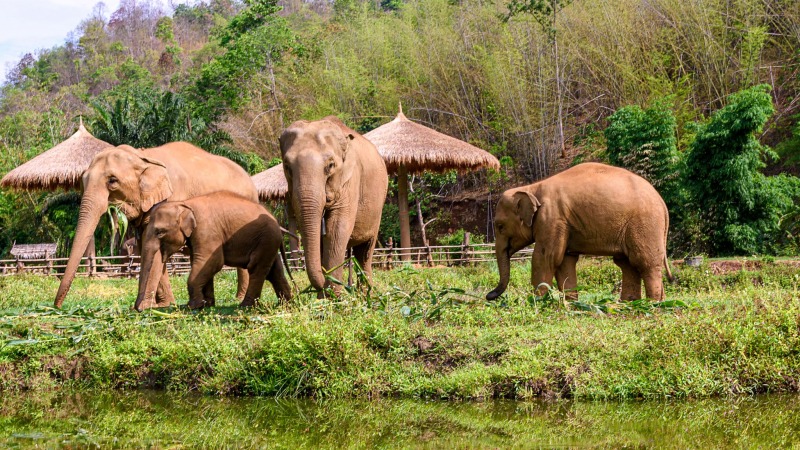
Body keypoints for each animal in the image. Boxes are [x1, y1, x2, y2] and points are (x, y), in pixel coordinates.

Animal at [54, 142, 258, 310]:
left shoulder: (170, 199)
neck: (142, 156)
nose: (57, 307)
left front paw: (149, 307)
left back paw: (238, 299)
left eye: (112, 181)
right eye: (82, 180)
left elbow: (156, 247)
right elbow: (147, 247)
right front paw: (164, 305)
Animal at [137, 191, 292, 310]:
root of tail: (277, 224)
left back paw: (245, 306)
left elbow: (213, 261)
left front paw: (193, 306)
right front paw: (207, 305)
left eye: (159, 232)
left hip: (266, 238)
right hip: (268, 242)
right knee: (274, 272)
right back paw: (286, 304)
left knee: (256, 269)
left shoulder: (206, 230)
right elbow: (202, 264)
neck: (185, 203)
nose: (139, 309)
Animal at [280, 116, 388, 294]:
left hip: (378, 206)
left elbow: (336, 230)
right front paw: (324, 296)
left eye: (330, 166)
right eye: (287, 168)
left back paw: (366, 295)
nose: (297, 288)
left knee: (365, 251)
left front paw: (333, 296)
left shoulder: (350, 181)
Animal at [486, 163, 673, 302]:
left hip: (645, 224)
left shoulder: (552, 218)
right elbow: (564, 261)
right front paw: (570, 304)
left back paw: (652, 304)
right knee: (626, 263)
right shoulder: (562, 223)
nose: (489, 295)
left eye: (500, 226)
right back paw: (631, 303)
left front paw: (537, 302)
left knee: (645, 262)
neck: (532, 188)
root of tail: (662, 203)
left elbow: (545, 257)